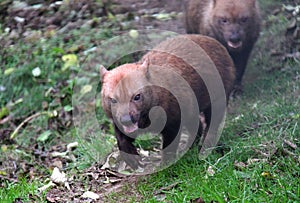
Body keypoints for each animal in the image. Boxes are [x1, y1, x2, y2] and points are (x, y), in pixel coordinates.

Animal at [99, 35, 236, 170]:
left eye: (137, 96)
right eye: (113, 100)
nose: (126, 120)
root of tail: (218, 44)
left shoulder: (174, 121)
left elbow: (169, 147)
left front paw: (166, 165)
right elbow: (121, 138)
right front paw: (132, 159)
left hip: (217, 100)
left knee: (211, 126)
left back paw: (205, 147)